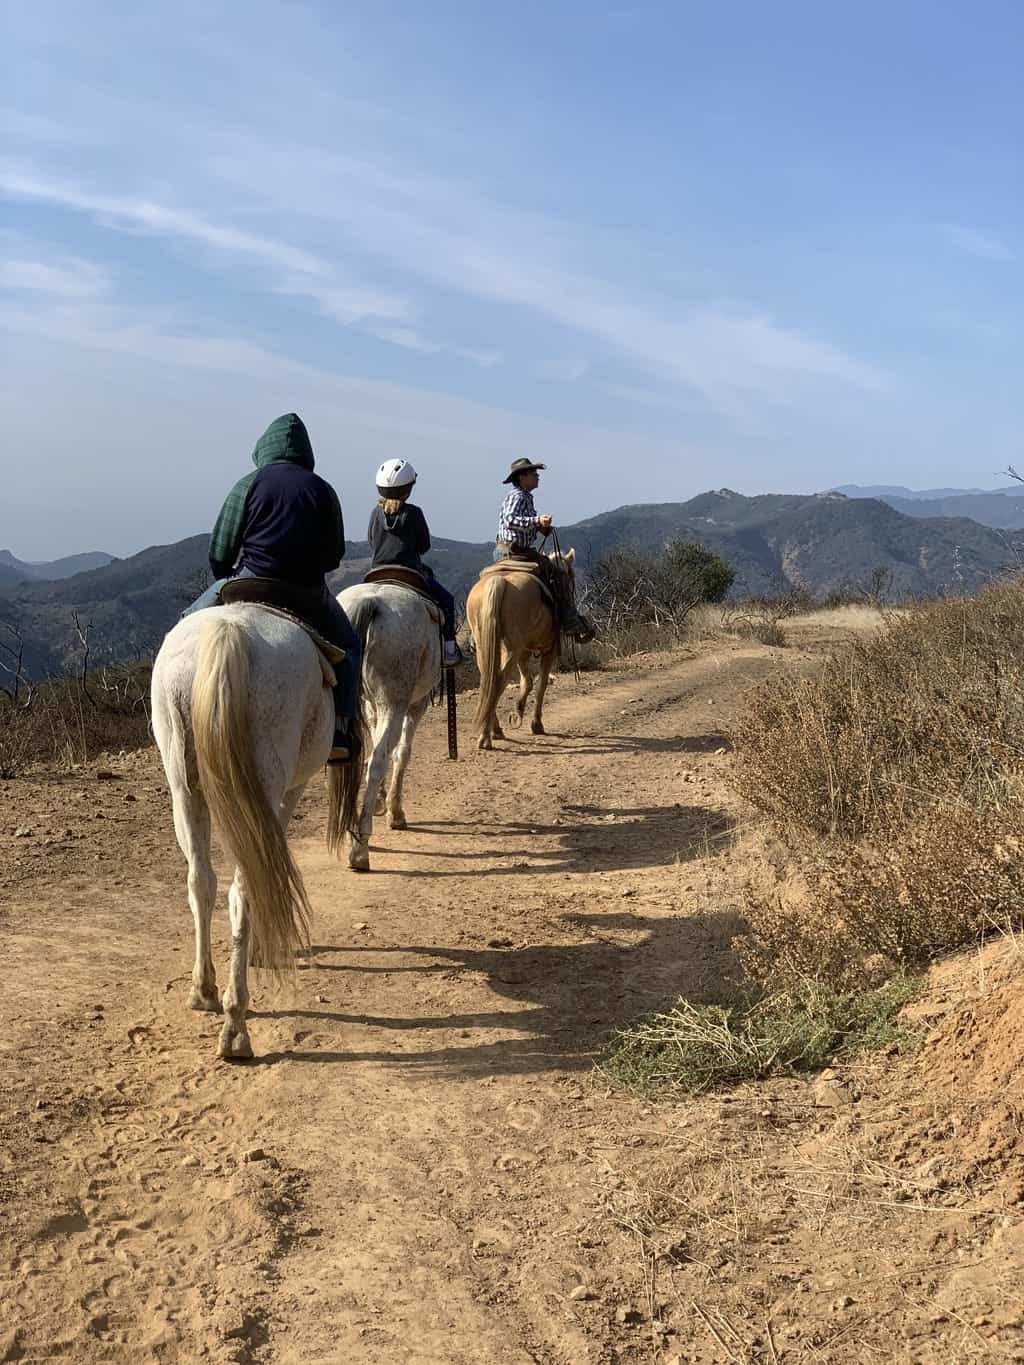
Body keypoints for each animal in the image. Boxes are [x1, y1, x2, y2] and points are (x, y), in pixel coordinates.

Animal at [150, 603, 360, 1059]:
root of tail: (228, 632)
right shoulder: (290, 791)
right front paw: (262, 950)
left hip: (184, 786)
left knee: (201, 880)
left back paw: (205, 991)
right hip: (264, 781)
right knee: (245, 886)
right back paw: (235, 1026)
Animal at [341, 581, 445, 868]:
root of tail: (371, 602)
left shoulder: (370, 705)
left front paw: (379, 801)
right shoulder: (416, 705)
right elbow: (401, 753)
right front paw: (395, 812)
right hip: (395, 702)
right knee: (378, 760)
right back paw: (360, 848)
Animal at [472, 548, 581, 753]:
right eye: (570, 576)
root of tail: (498, 581)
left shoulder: (524, 652)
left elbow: (527, 682)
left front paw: (518, 711)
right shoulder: (548, 650)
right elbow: (540, 684)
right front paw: (536, 724)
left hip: (485, 646)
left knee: (488, 681)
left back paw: (494, 729)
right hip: (511, 649)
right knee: (498, 681)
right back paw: (485, 736)